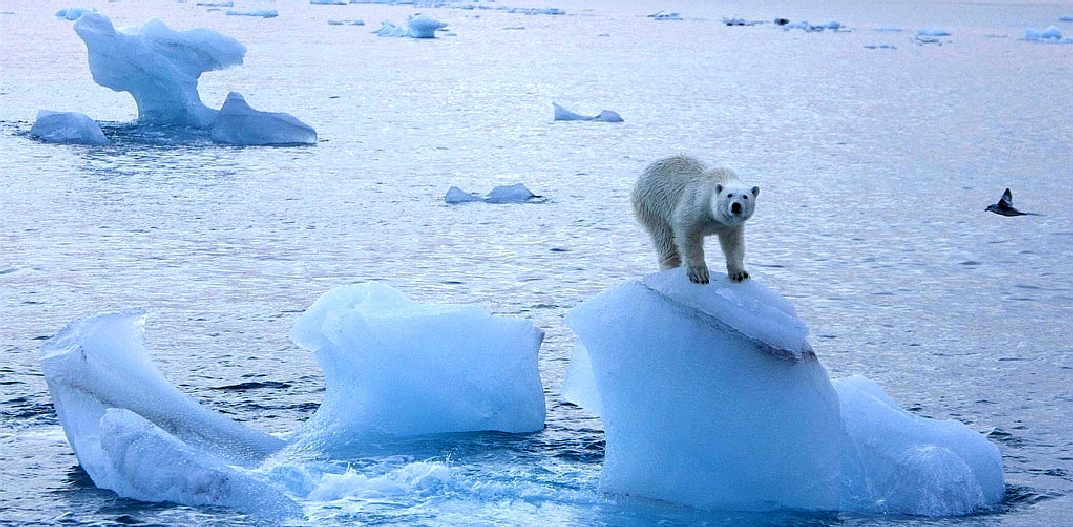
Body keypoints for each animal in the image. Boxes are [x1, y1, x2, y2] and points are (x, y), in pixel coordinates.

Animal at [630, 155, 759, 285]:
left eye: (745, 196)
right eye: (729, 195)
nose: (736, 206)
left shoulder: (730, 225)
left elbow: (733, 243)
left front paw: (740, 274)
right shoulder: (695, 206)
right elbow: (689, 237)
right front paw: (699, 275)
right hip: (654, 205)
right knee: (665, 239)